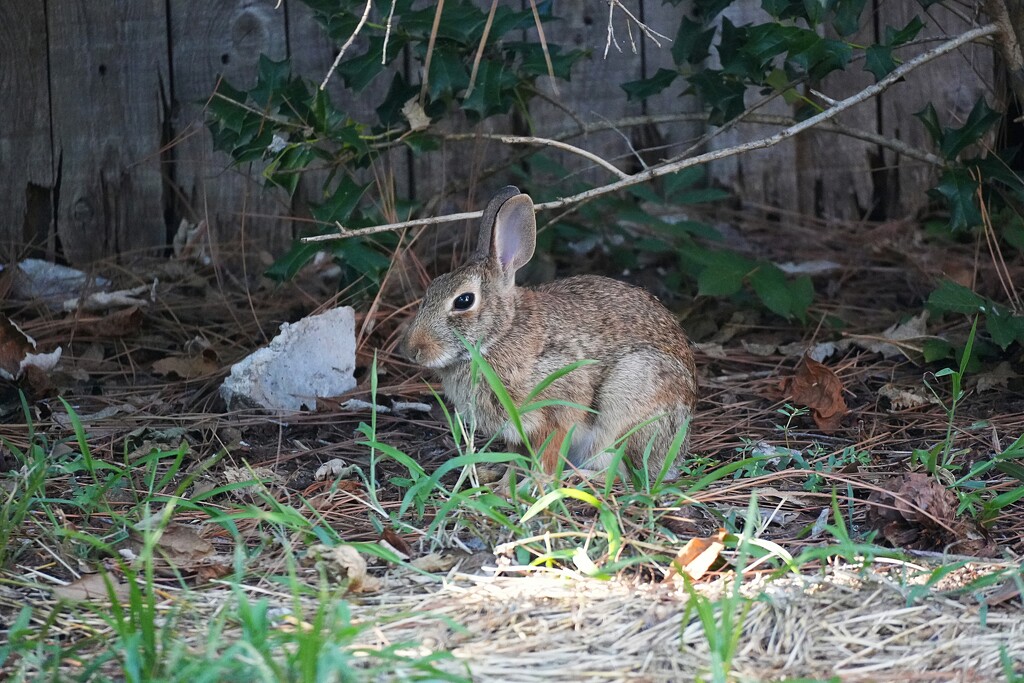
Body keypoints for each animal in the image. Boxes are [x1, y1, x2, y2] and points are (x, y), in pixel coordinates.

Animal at [399, 184, 696, 479]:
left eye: (463, 301)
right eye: (432, 287)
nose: (412, 350)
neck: (501, 333)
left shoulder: (557, 408)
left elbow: (548, 455)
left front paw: (531, 483)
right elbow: (515, 457)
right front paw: (505, 481)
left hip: (629, 398)